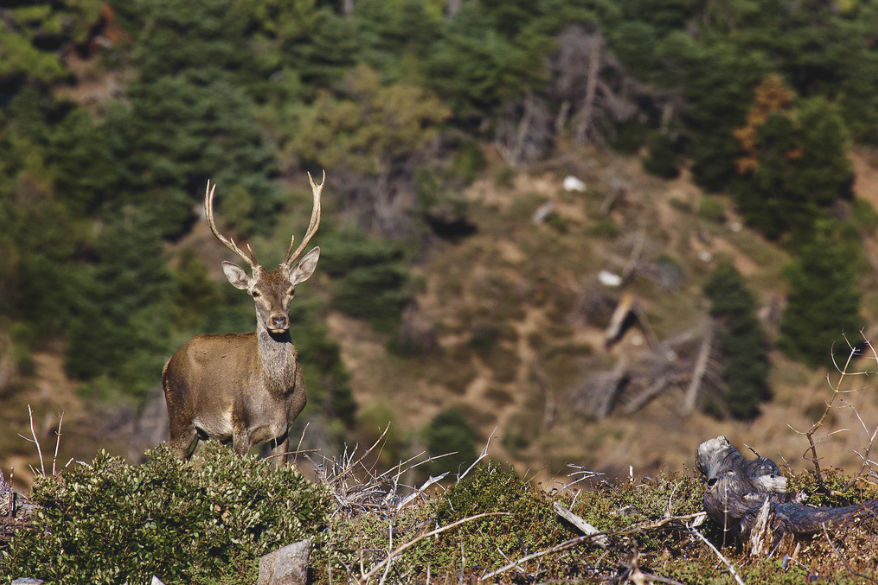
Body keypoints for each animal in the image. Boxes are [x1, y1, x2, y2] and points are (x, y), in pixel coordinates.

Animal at [161, 172, 324, 466]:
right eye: (255, 292)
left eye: (292, 290)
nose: (278, 320)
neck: (277, 395)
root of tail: (168, 363)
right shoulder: (240, 426)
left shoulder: (285, 430)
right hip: (179, 416)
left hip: (208, 434)